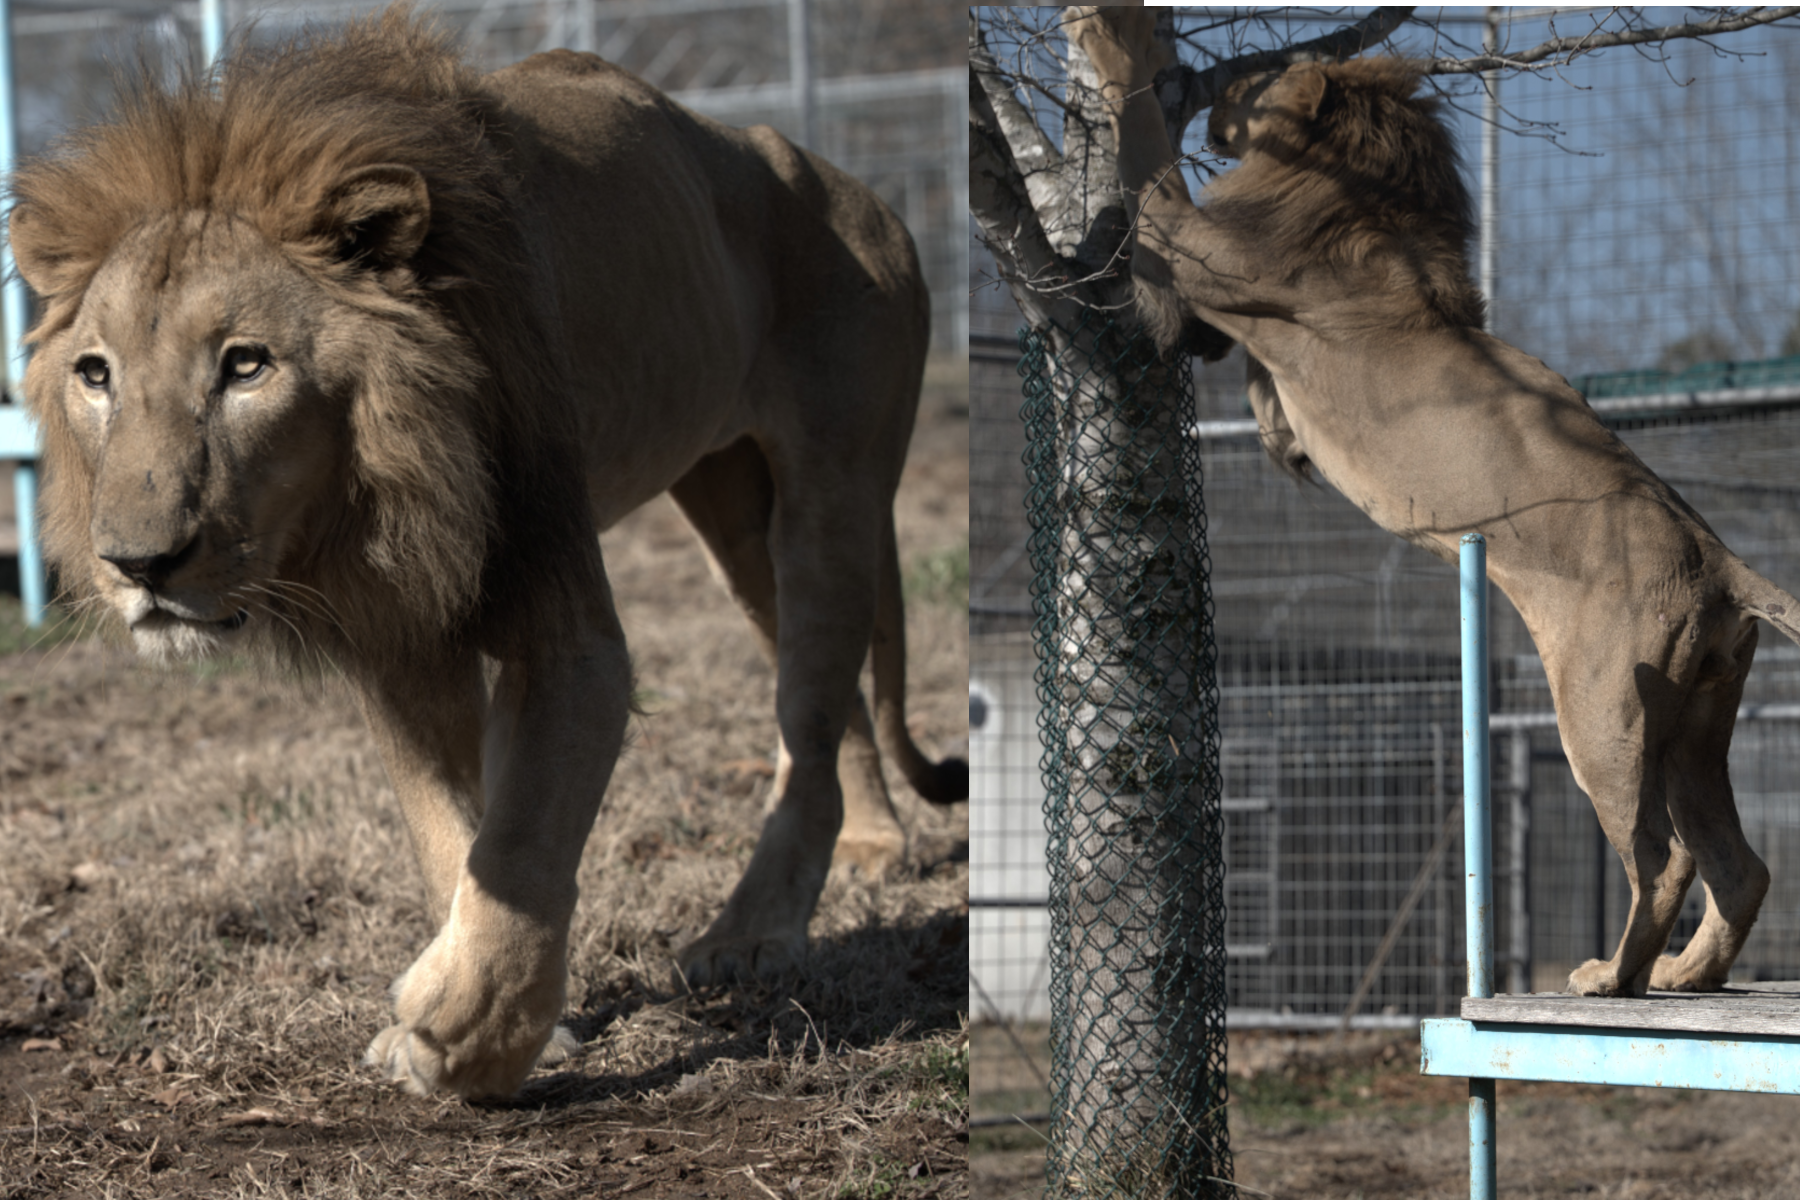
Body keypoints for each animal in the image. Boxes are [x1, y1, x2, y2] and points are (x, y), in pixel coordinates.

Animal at [7, 9, 966, 1099]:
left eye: (245, 365)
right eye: (96, 375)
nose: (137, 566)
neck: (376, 493)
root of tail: (860, 192)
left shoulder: (565, 633)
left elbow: (521, 836)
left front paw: (466, 1033)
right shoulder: (402, 635)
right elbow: (451, 836)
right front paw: (512, 1019)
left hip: (833, 496)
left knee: (809, 707)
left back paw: (754, 931)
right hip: (732, 510)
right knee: (831, 699)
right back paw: (870, 842)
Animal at [1068, 7, 1800, 1001]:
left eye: (1261, 81)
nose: (1220, 84)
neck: (1359, 183)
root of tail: (1720, 557)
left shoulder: (1197, 248)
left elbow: (1143, 139)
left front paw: (1117, 35)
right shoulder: (1213, 318)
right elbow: (1255, 390)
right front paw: (1274, 438)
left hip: (1605, 711)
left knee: (1665, 859)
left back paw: (1614, 978)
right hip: (1696, 724)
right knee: (1739, 864)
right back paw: (1687, 975)